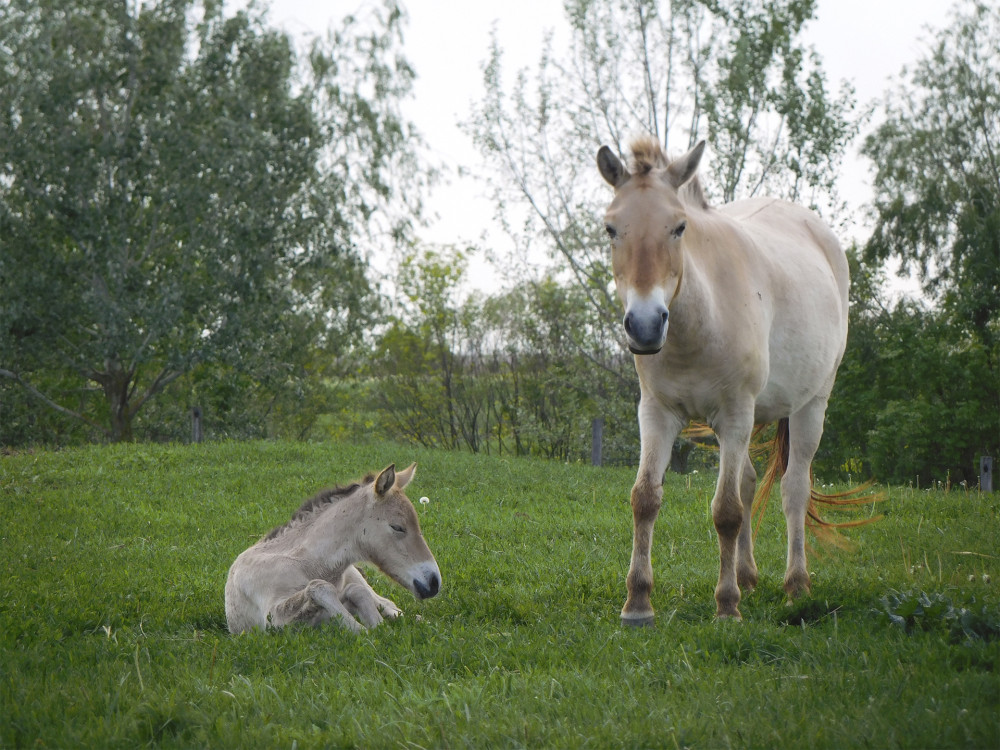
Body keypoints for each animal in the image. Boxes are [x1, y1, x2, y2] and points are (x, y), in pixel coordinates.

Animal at [232, 464, 444, 636]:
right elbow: (320, 587)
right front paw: (366, 630)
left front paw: (374, 627)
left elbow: (354, 592)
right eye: (398, 527)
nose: (434, 582)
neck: (309, 563)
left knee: (389, 605)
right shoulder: (273, 619)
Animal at [596, 137, 848, 624]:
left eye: (679, 227)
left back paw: (795, 585)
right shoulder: (656, 414)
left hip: (812, 407)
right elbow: (645, 498)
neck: (699, 322)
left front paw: (726, 606)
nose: (645, 326)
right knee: (749, 481)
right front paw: (638, 602)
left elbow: (727, 511)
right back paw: (748, 577)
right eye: (611, 229)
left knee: (794, 489)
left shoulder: (734, 415)